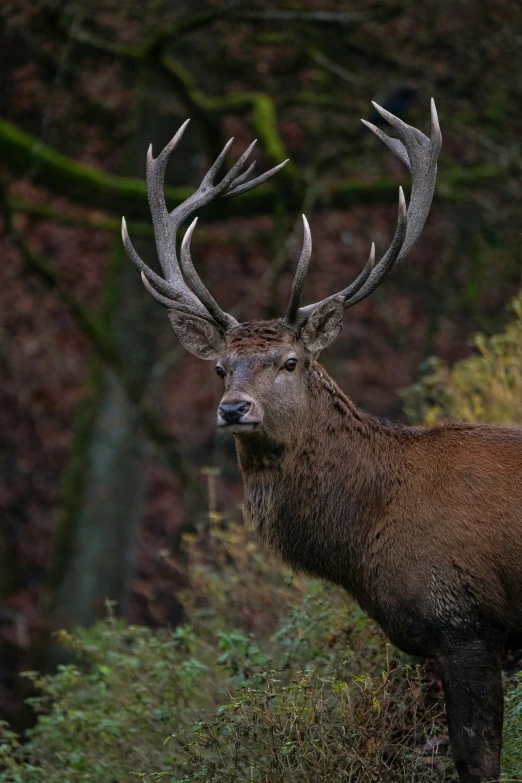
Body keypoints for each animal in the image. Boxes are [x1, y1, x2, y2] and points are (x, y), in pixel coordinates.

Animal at [122, 101, 520, 780]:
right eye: (220, 368)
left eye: (289, 361)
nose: (233, 409)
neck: (366, 535)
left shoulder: (464, 623)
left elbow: (478, 758)